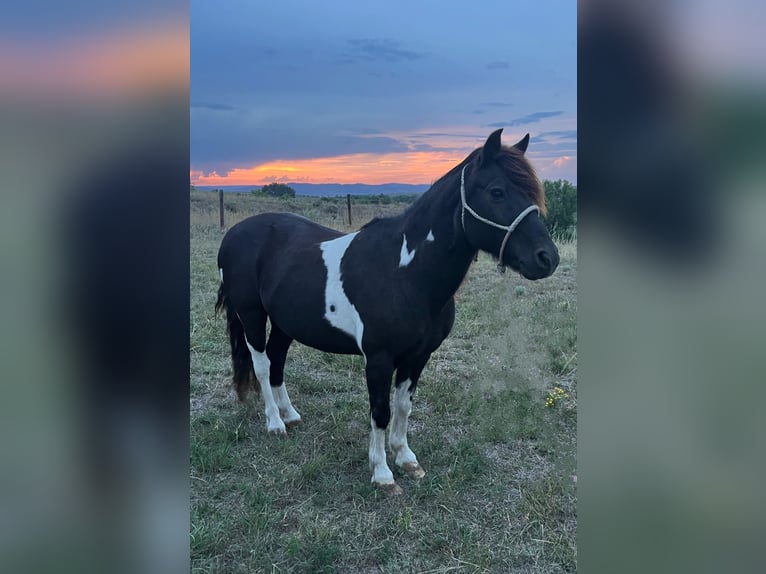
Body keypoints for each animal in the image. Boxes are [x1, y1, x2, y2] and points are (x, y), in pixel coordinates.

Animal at [214, 130, 560, 496]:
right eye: (497, 191)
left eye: (532, 192)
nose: (547, 258)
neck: (404, 273)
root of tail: (234, 233)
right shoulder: (379, 358)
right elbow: (380, 410)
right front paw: (381, 473)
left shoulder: (418, 355)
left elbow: (404, 405)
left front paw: (406, 458)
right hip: (252, 315)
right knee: (262, 364)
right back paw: (275, 423)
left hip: (286, 322)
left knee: (277, 360)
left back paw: (291, 415)